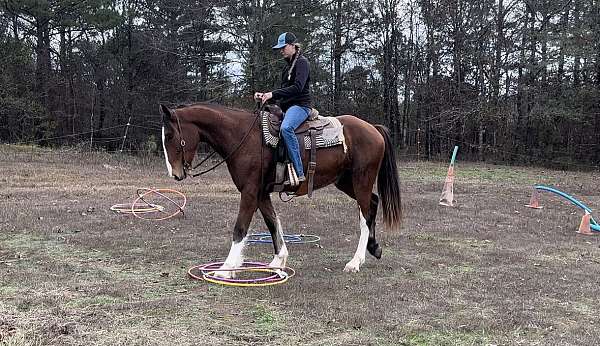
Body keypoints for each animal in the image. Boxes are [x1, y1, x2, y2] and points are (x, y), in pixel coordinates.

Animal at [162, 102, 400, 278]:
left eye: (170, 136)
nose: (175, 174)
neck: (243, 136)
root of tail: (373, 128)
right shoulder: (261, 193)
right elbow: (272, 222)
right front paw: (278, 261)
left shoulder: (249, 192)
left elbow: (240, 228)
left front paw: (226, 269)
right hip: (345, 182)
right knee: (374, 202)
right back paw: (374, 248)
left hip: (361, 180)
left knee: (365, 216)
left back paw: (355, 262)